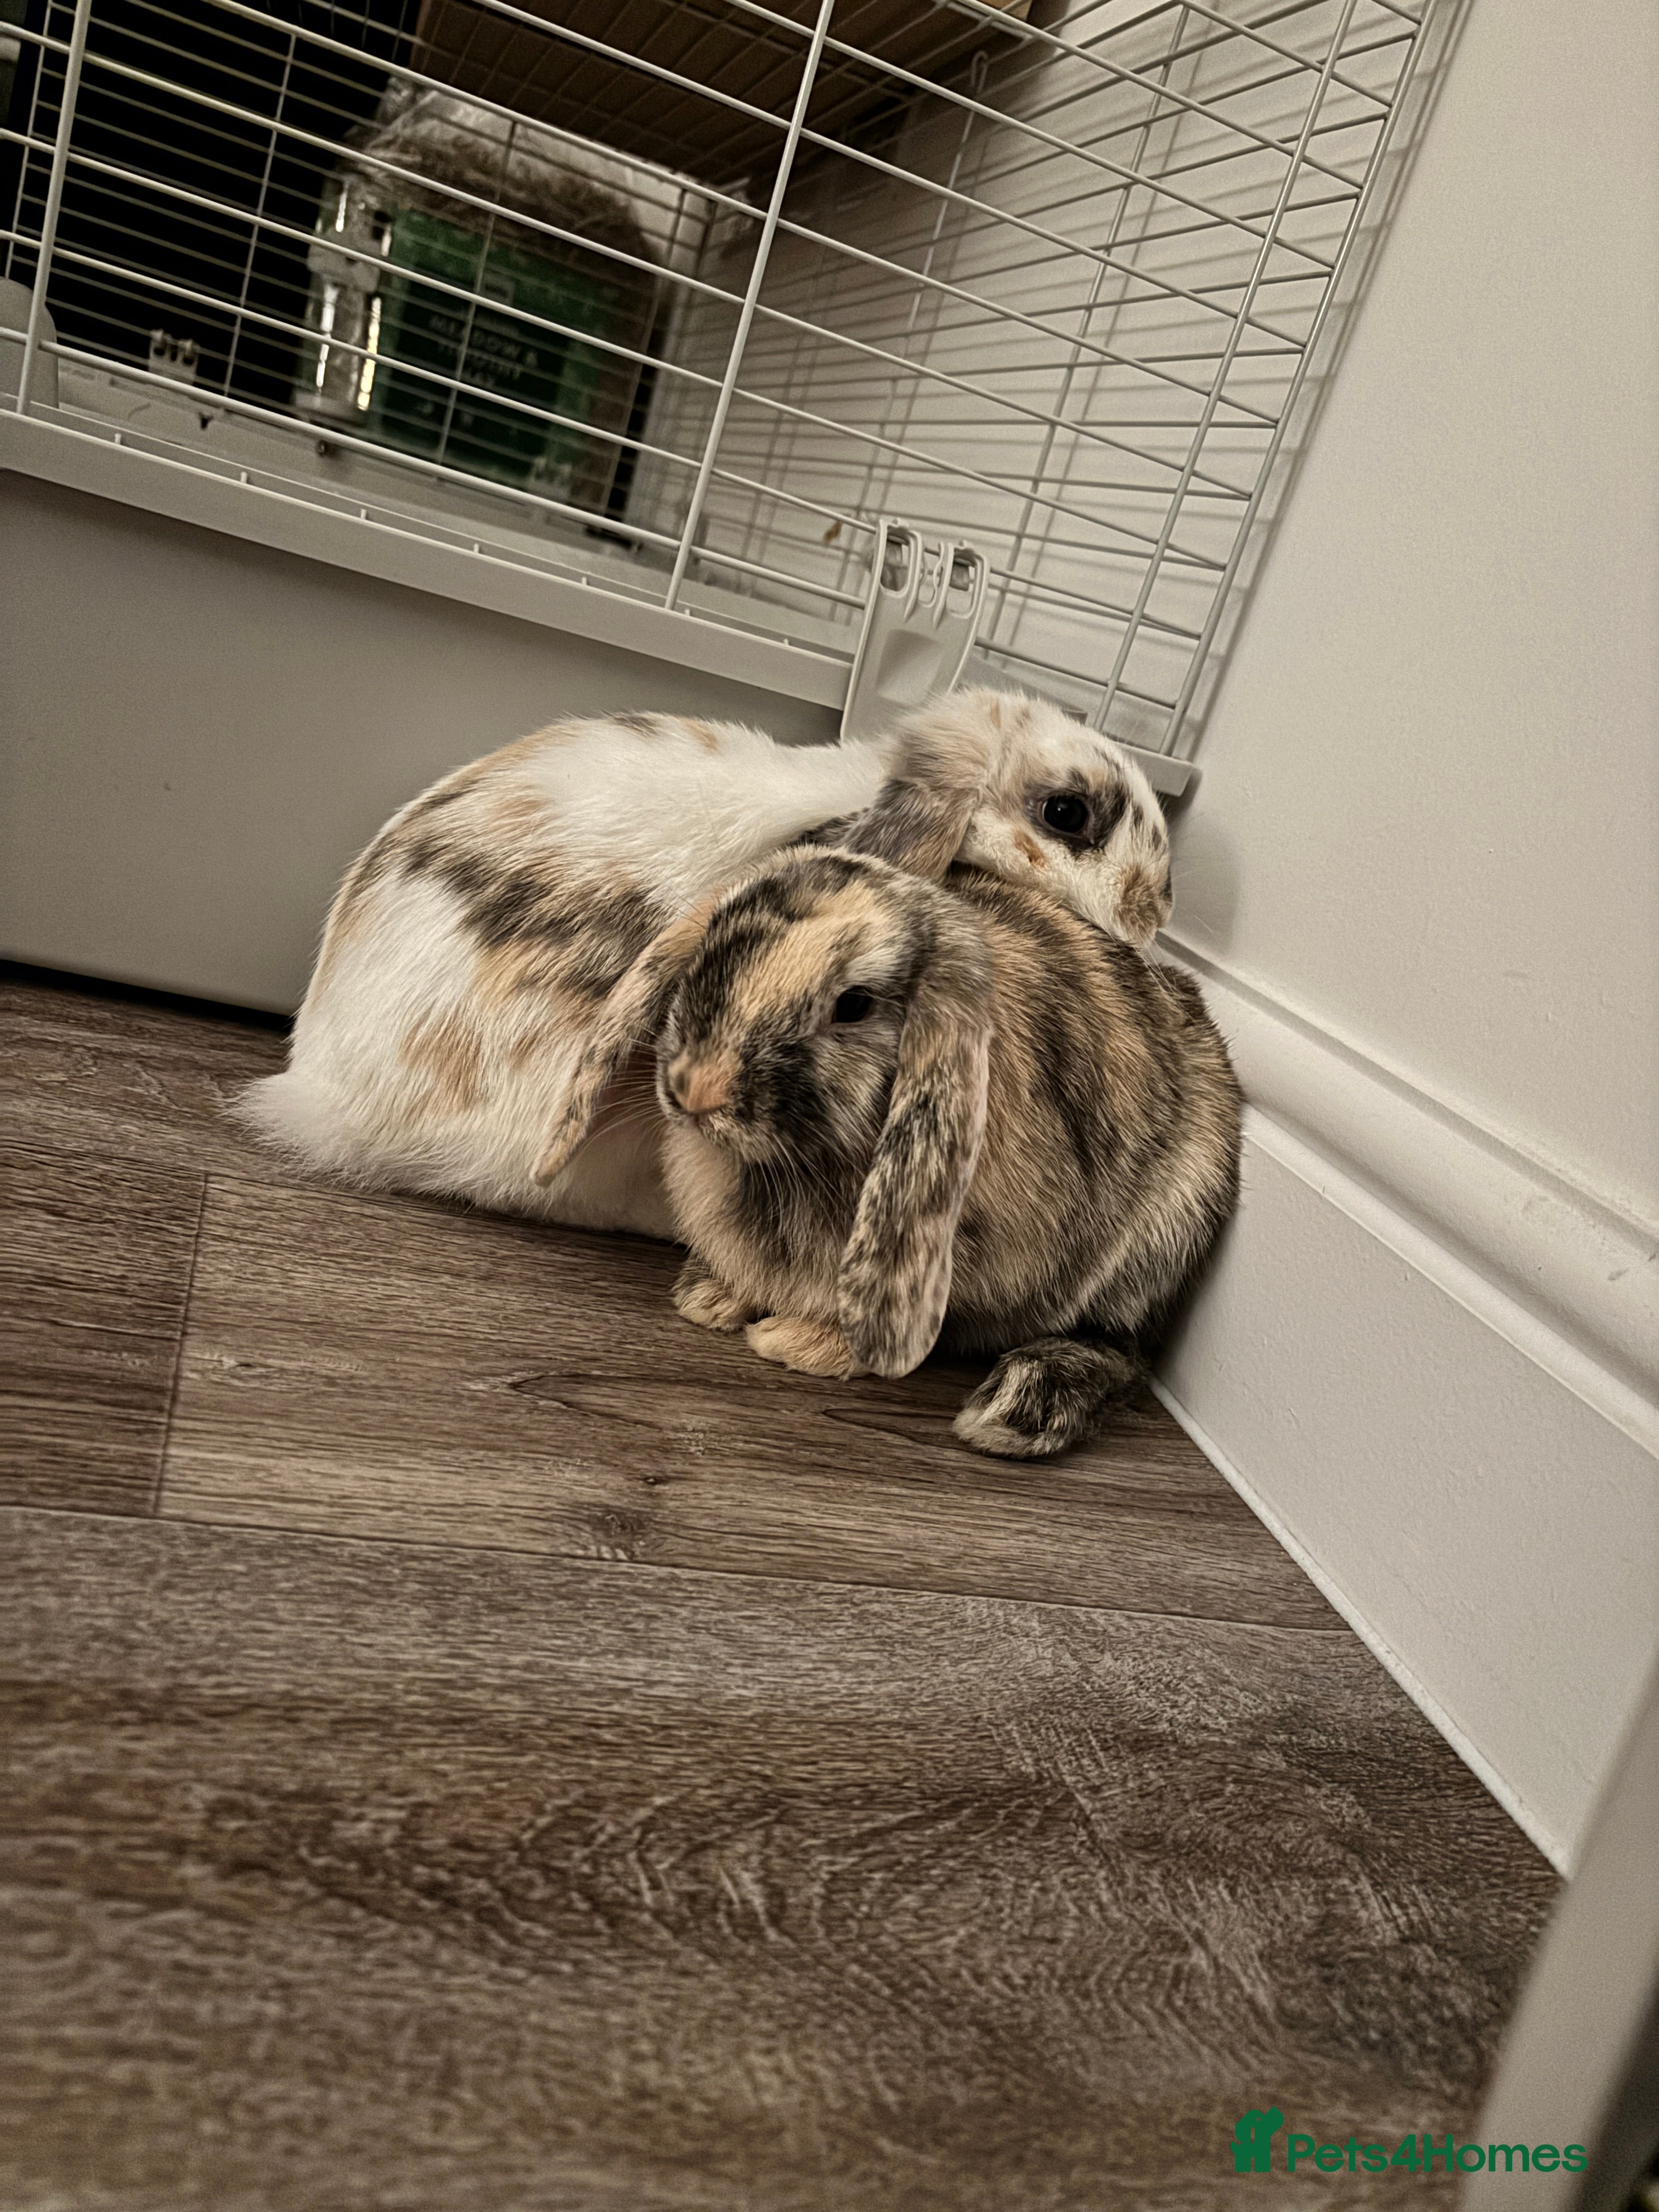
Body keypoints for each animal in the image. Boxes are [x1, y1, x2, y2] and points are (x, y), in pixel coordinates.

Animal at [531, 809, 1241, 1460]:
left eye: (854, 1005)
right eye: (715, 944)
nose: (696, 1089)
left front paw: (797, 1344)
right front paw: (711, 1299)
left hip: (1159, 1242)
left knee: (1121, 1348)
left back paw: (1016, 1411)